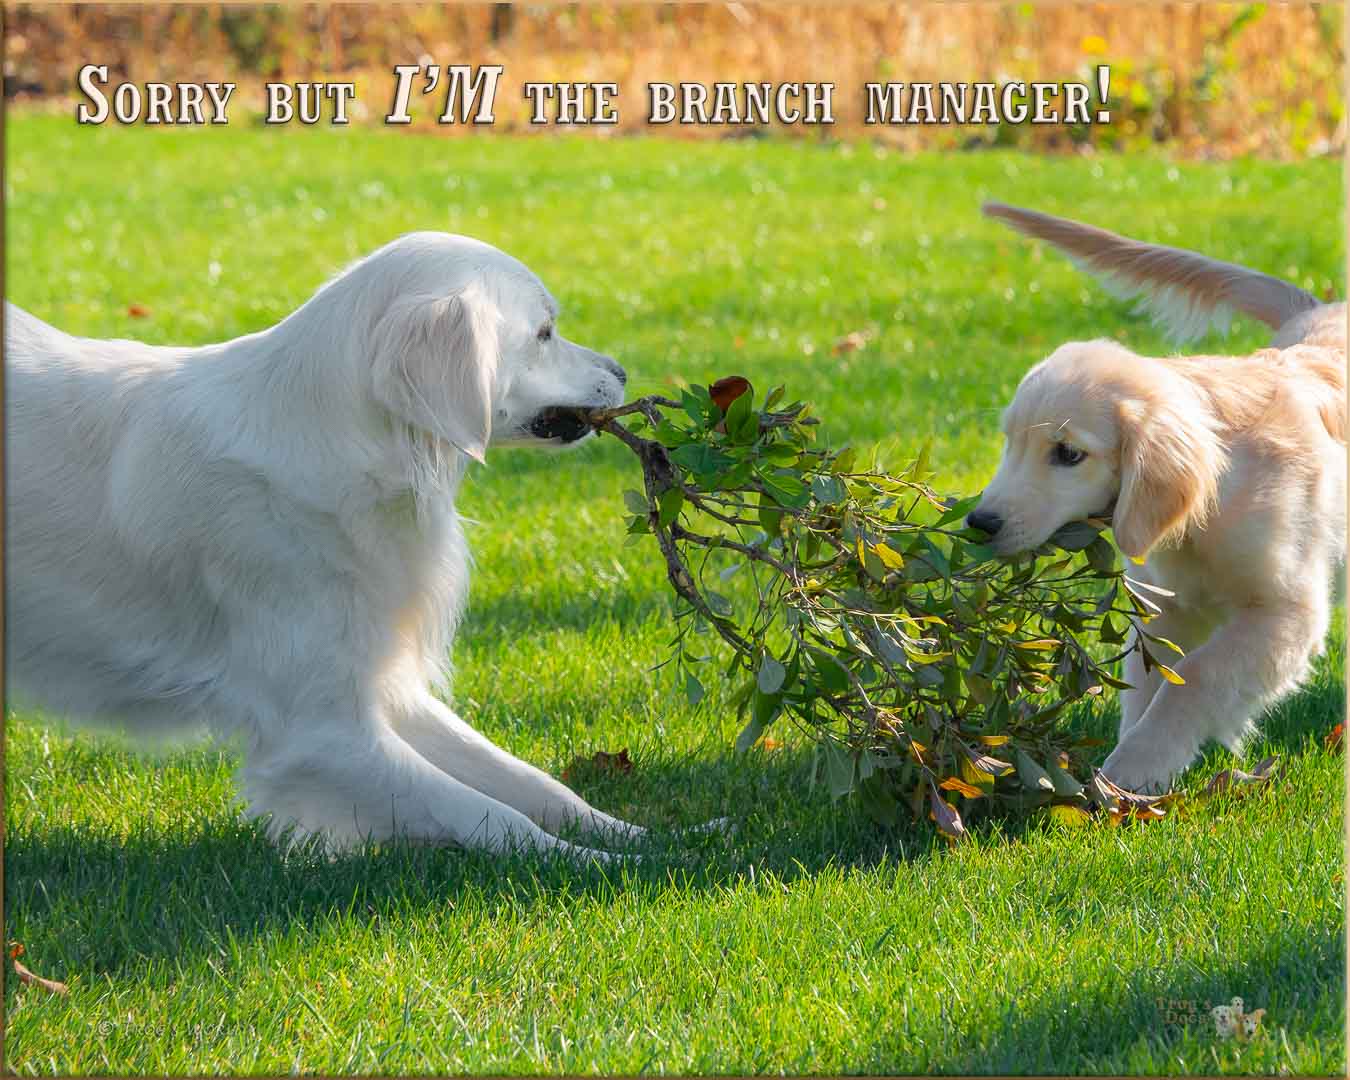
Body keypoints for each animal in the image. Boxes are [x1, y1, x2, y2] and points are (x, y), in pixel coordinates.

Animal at [972, 202, 1339, 793]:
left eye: (1068, 454)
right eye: (1011, 442)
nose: (978, 524)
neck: (1214, 503)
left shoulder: (1287, 614)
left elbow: (1196, 676)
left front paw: (1133, 768)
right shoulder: (1164, 604)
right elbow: (1148, 679)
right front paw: (1131, 773)